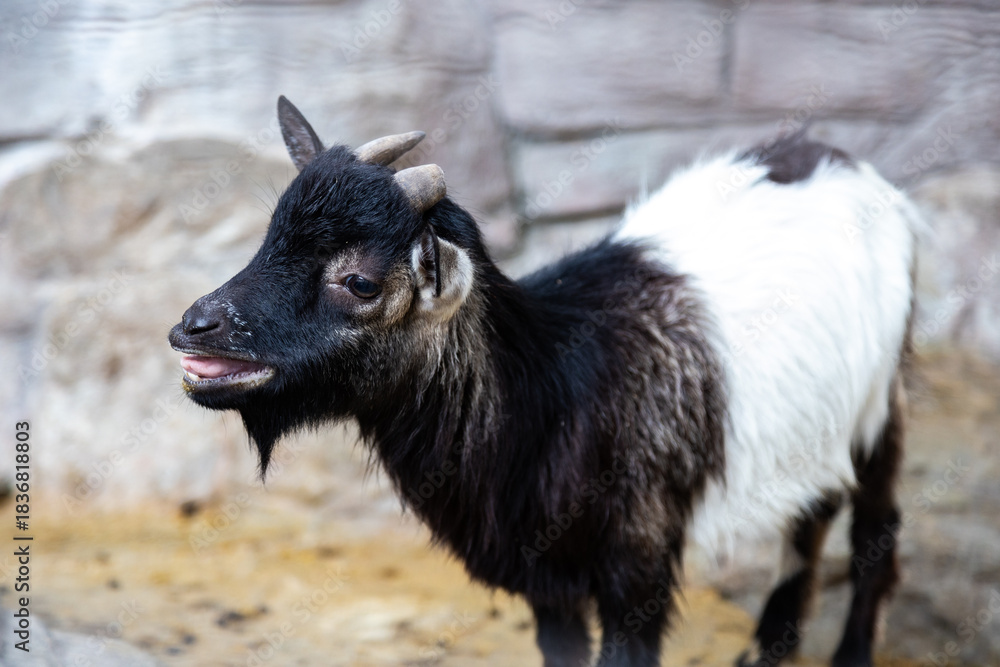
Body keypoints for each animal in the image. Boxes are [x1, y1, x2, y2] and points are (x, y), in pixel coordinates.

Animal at [169, 96, 918, 667]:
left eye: (359, 281)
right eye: (269, 237)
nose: (193, 328)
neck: (553, 387)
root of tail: (845, 164)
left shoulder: (639, 561)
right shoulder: (546, 579)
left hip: (882, 397)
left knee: (875, 524)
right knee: (813, 512)